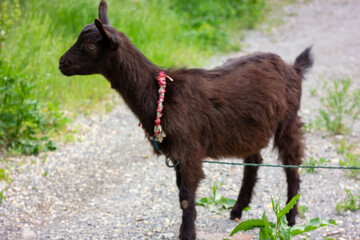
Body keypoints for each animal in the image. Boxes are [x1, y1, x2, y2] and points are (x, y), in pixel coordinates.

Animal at [59, 0, 312, 239]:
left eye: (90, 46)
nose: (61, 63)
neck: (160, 93)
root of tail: (293, 68)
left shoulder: (190, 150)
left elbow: (186, 197)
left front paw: (187, 234)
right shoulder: (177, 155)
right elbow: (181, 193)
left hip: (288, 119)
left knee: (292, 162)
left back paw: (290, 216)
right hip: (250, 129)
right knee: (254, 160)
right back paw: (238, 209)